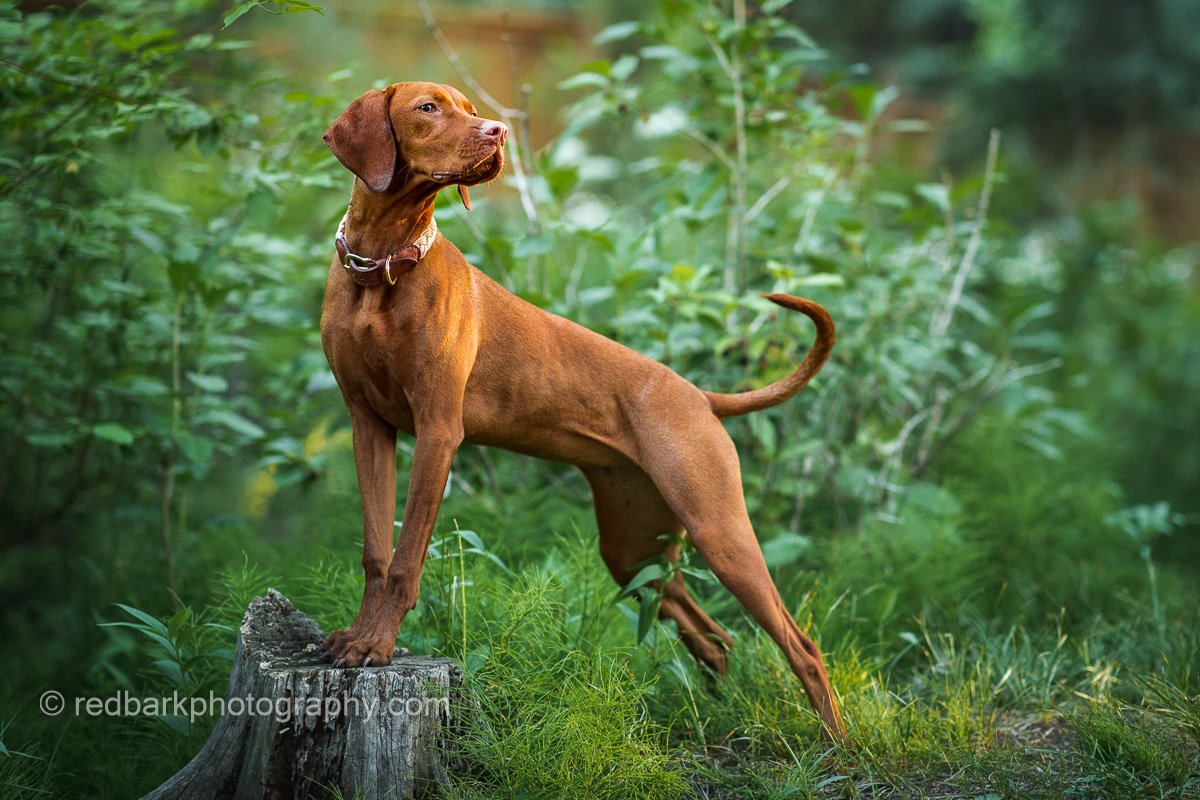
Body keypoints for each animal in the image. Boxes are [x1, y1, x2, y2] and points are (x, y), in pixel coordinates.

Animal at [319, 81, 844, 738]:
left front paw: (378, 646)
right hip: (633, 548)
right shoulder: (368, 424)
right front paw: (359, 637)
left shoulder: (439, 431)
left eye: (471, 110)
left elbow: (404, 562)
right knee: (716, 638)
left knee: (803, 646)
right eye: (428, 108)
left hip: (719, 530)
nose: (498, 132)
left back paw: (836, 744)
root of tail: (700, 396)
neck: (382, 268)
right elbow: (375, 553)